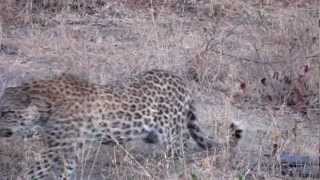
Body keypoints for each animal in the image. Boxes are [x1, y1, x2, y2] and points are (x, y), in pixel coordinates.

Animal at [0, 69, 241, 180]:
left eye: (6, 112)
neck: (46, 106)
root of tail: (180, 79)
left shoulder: (57, 147)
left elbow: (35, 170)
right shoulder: (69, 147)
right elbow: (65, 171)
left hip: (171, 133)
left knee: (180, 151)